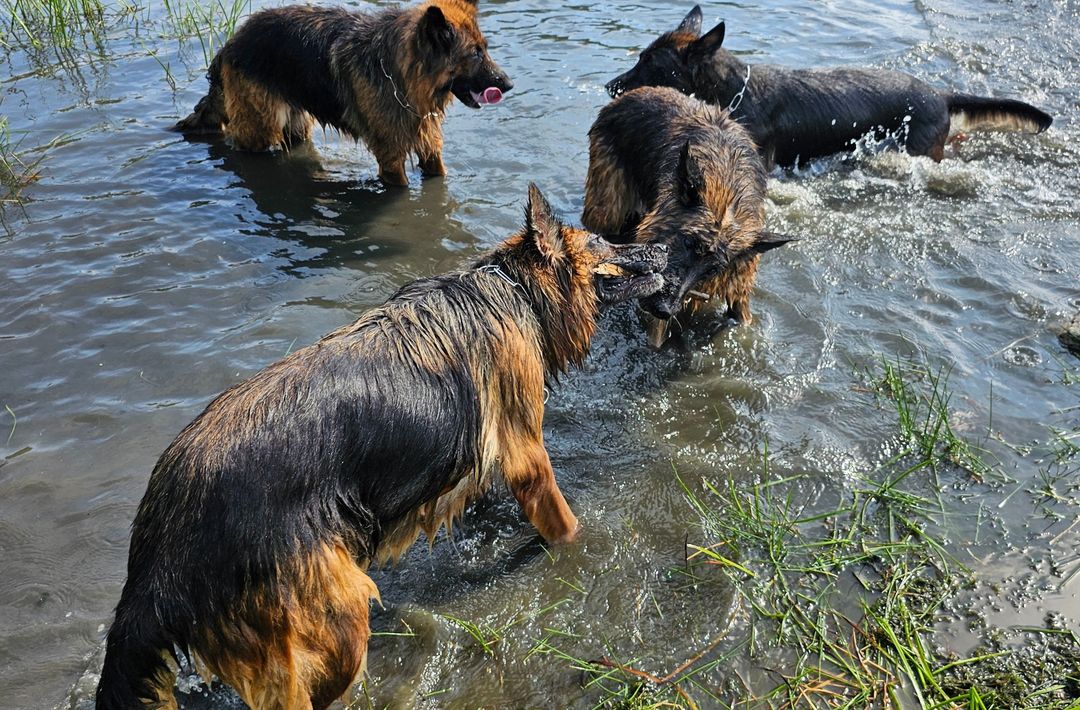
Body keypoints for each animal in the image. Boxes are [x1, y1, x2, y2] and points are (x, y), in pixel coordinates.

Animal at [94, 185, 666, 709]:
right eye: (601, 240)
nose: (660, 246)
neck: (515, 289)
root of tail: (161, 547)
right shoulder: (528, 457)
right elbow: (563, 521)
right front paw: (583, 551)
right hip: (343, 616)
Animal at [174, 0, 512, 186]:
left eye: (485, 49)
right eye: (476, 54)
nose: (508, 84)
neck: (400, 76)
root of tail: (231, 42)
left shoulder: (430, 148)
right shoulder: (391, 159)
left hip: (296, 125)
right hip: (260, 127)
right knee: (238, 141)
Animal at [583, 86, 792, 347]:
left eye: (713, 268)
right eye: (688, 242)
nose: (664, 309)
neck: (728, 187)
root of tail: (631, 94)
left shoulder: (739, 285)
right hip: (606, 207)